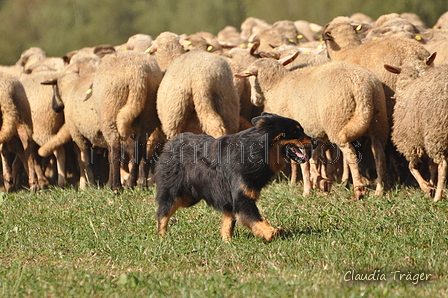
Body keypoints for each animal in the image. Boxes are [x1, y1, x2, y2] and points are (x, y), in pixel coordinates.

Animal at [154, 113, 316, 241]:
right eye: (297, 132)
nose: (316, 142)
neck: (257, 151)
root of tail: (171, 142)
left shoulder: (231, 199)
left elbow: (229, 223)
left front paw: (227, 242)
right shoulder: (242, 198)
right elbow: (256, 219)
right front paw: (270, 232)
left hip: (189, 196)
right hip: (176, 193)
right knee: (163, 214)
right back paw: (162, 238)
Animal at [236, 52, 390, 199]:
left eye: (251, 79)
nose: (253, 100)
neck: (277, 86)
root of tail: (361, 85)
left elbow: (305, 163)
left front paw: (308, 190)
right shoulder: (318, 134)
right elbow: (314, 159)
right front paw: (320, 183)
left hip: (337, 122)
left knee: (351, 154)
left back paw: (358, 191)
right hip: (378, 120)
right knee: (379, 154)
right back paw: (379, 190)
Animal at [384, 53, 448, 203]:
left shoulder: (409, 141)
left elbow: (411, 167)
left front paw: (426, 187)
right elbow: (431, 166)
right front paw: (430, 185)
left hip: (437, 134)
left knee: (443, 165)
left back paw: (438, 197)